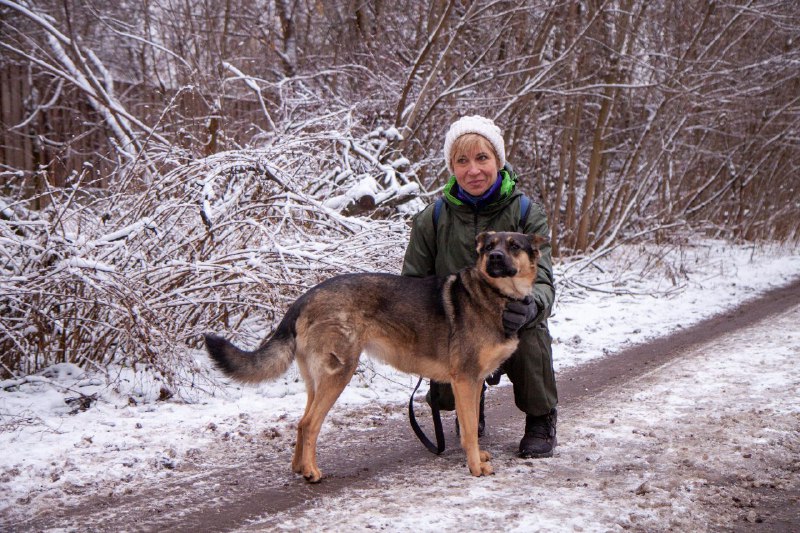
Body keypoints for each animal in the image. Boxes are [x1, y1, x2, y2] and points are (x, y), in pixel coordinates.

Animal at [205, 231, 552, 480]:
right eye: (489, 246)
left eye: (513, 246)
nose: (494, 257)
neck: (496, 295)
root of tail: (305, 298)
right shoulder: (465, 380)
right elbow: (468, 430)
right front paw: (475, 467)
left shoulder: (475, 381)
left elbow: (470, 428)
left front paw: (477, 457)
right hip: (339, 374)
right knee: (310, 423)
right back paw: (311, 472)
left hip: (316, 380)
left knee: (301, 422)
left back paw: (298, 467)